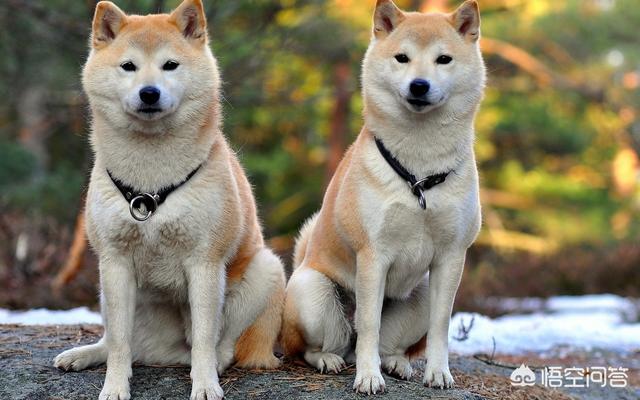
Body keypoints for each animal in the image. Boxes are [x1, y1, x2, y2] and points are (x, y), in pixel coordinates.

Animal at [53, 1, 284, 398]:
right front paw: (114, 387)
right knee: (119, 342)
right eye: (129, 66)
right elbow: (119, 343)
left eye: (170, 65)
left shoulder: (205, 262)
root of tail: (165, 353)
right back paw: (84, 354)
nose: (149, 93)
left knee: (220, 346)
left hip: (265, 270)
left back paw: (211, 364)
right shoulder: (114, 262)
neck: (150, 183)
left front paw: (204, 385)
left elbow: (205, 338)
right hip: (107, 290)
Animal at [282, 0, 484, 394]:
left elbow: (441, 326)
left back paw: (396, 363)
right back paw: (330, 360)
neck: (419, 172)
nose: (419, 85)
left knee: (390, 345)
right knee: (321, 345)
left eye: (444, 60)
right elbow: (369, 325)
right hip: (313, 293)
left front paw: (438, 372)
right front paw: (368, 377)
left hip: (420, 293)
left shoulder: (451, 256)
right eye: (402, 58)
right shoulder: (373, 255)